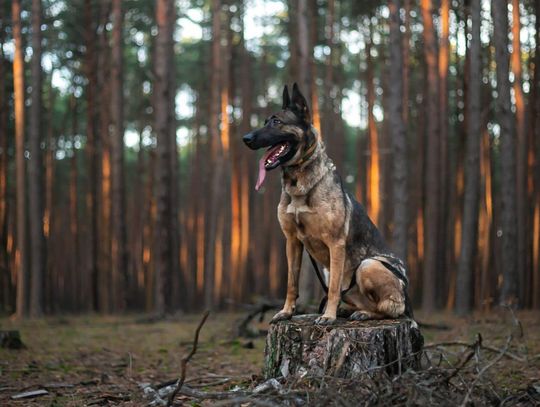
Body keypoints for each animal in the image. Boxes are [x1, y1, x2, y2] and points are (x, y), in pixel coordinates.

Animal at [244, 83, 414, 326]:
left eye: (276, 122)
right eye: (266, 120)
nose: (246, 138)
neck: (298, 183)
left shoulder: (335, 244)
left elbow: (333, 287)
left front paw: (328, 315)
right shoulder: (292, 242)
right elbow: (291, 284)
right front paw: (287, 312)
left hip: (368, 265)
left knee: (390, 309)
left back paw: (362, 313)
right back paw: (351, 310)